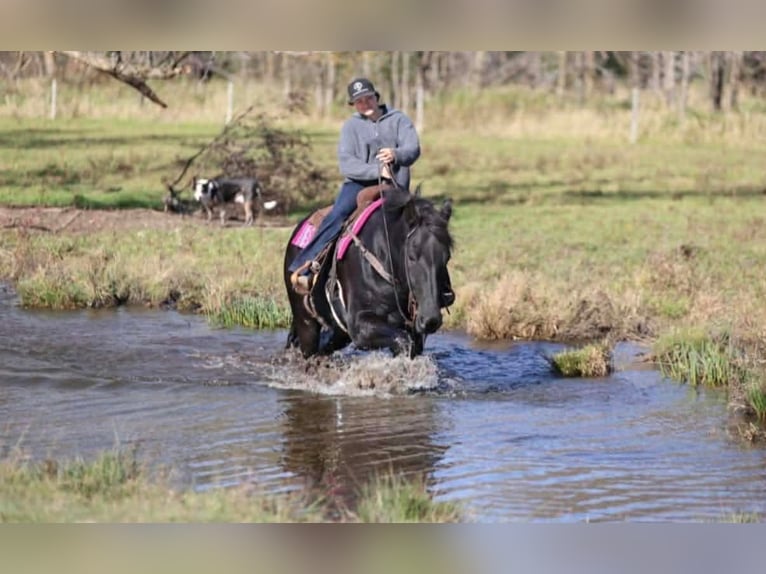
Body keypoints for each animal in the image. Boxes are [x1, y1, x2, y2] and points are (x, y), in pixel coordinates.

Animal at [283, 186, 454, 359]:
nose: (431, 319)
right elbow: (403, 341)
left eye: (446, 257)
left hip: (339, 333)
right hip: (306, 324)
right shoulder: (360, 326)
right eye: (412, 256)